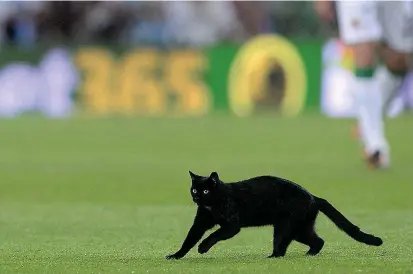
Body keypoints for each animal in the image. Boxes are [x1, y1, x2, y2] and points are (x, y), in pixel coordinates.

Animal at [165, 171, 384, 260]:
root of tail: (313, 196)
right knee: (318, 240)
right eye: (194, 189)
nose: (196, 198)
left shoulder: (232, 226)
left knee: (282, 246)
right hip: (299, 228)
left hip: (286, 227)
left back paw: (271, 257)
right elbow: (189, 239)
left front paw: (202, 248)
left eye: (205, 191)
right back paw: (309, 254)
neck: (212, 205)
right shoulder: (200, 223)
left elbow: (213, 235)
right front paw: (176, 256)